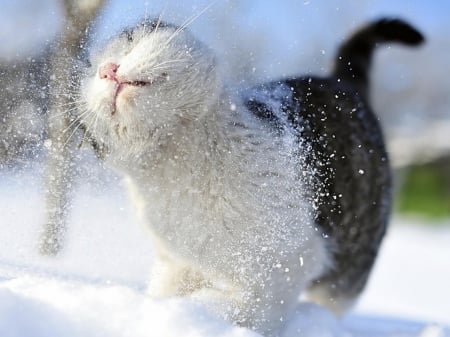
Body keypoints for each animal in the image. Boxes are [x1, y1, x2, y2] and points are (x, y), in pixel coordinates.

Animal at [78, 18, 426, 334]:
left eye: (128, 42)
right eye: (90, 74)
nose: (107, 69)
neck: (183, 164)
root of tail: (341, 80)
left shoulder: (290, 264)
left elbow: (250, 309)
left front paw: (203, 315)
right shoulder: (178, 263)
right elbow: (168, 292)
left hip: (348, 266)